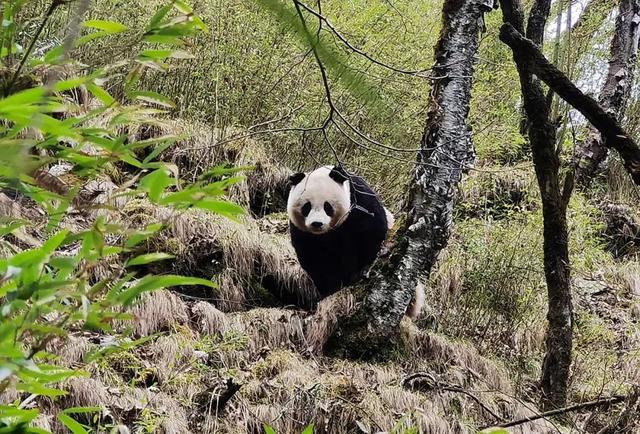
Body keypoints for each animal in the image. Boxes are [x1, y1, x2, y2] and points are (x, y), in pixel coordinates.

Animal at [288, 164, 422, 318]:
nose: (317, 223)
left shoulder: (359, 201)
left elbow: (372, 233)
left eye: (327, 206)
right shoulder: (302, 232)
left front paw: (362, 271)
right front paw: (330, 289)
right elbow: (314, 259)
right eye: (307, 206)